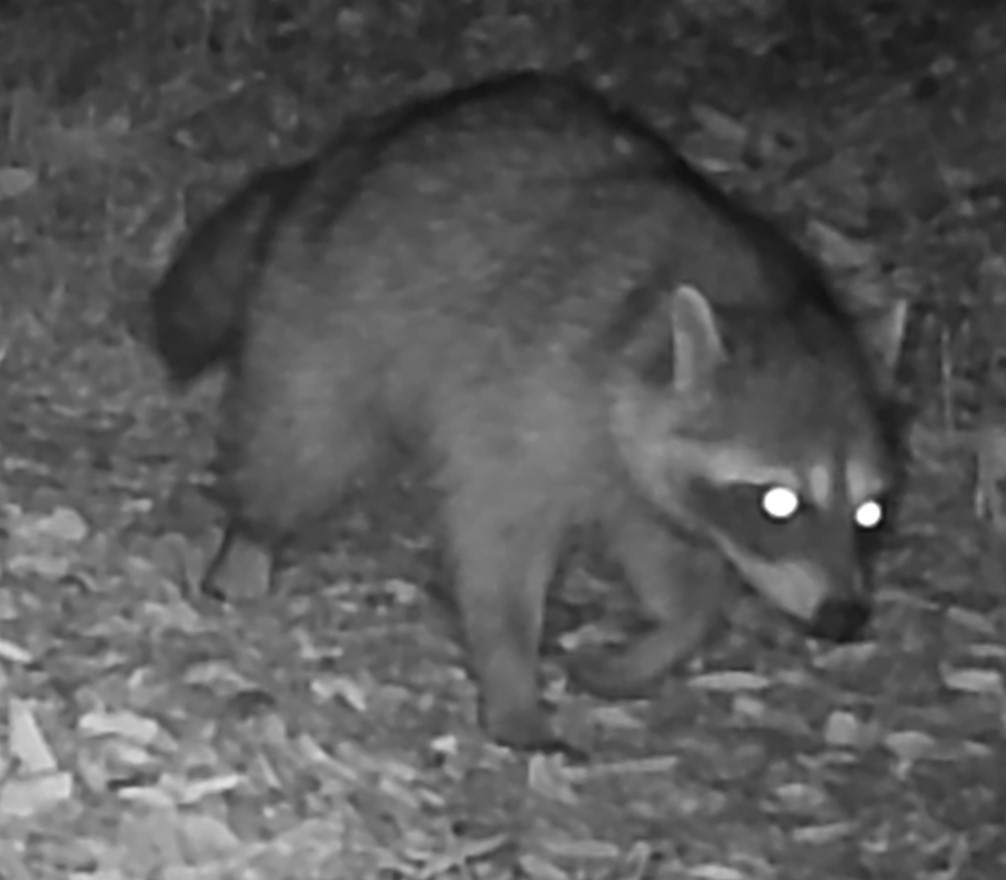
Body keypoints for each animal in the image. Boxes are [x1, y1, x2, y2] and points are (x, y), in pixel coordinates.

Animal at [150, 72, 905, 752]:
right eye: (779, 501)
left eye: (871, 513)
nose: (844, 618)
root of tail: (334, 157)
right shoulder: (529, 390)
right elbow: (497, 537)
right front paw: (512, 674)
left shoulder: (640, 469)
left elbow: (666, 555)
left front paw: (668, 637)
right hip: (331, 302)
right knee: (304, 433)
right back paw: (254, 532)